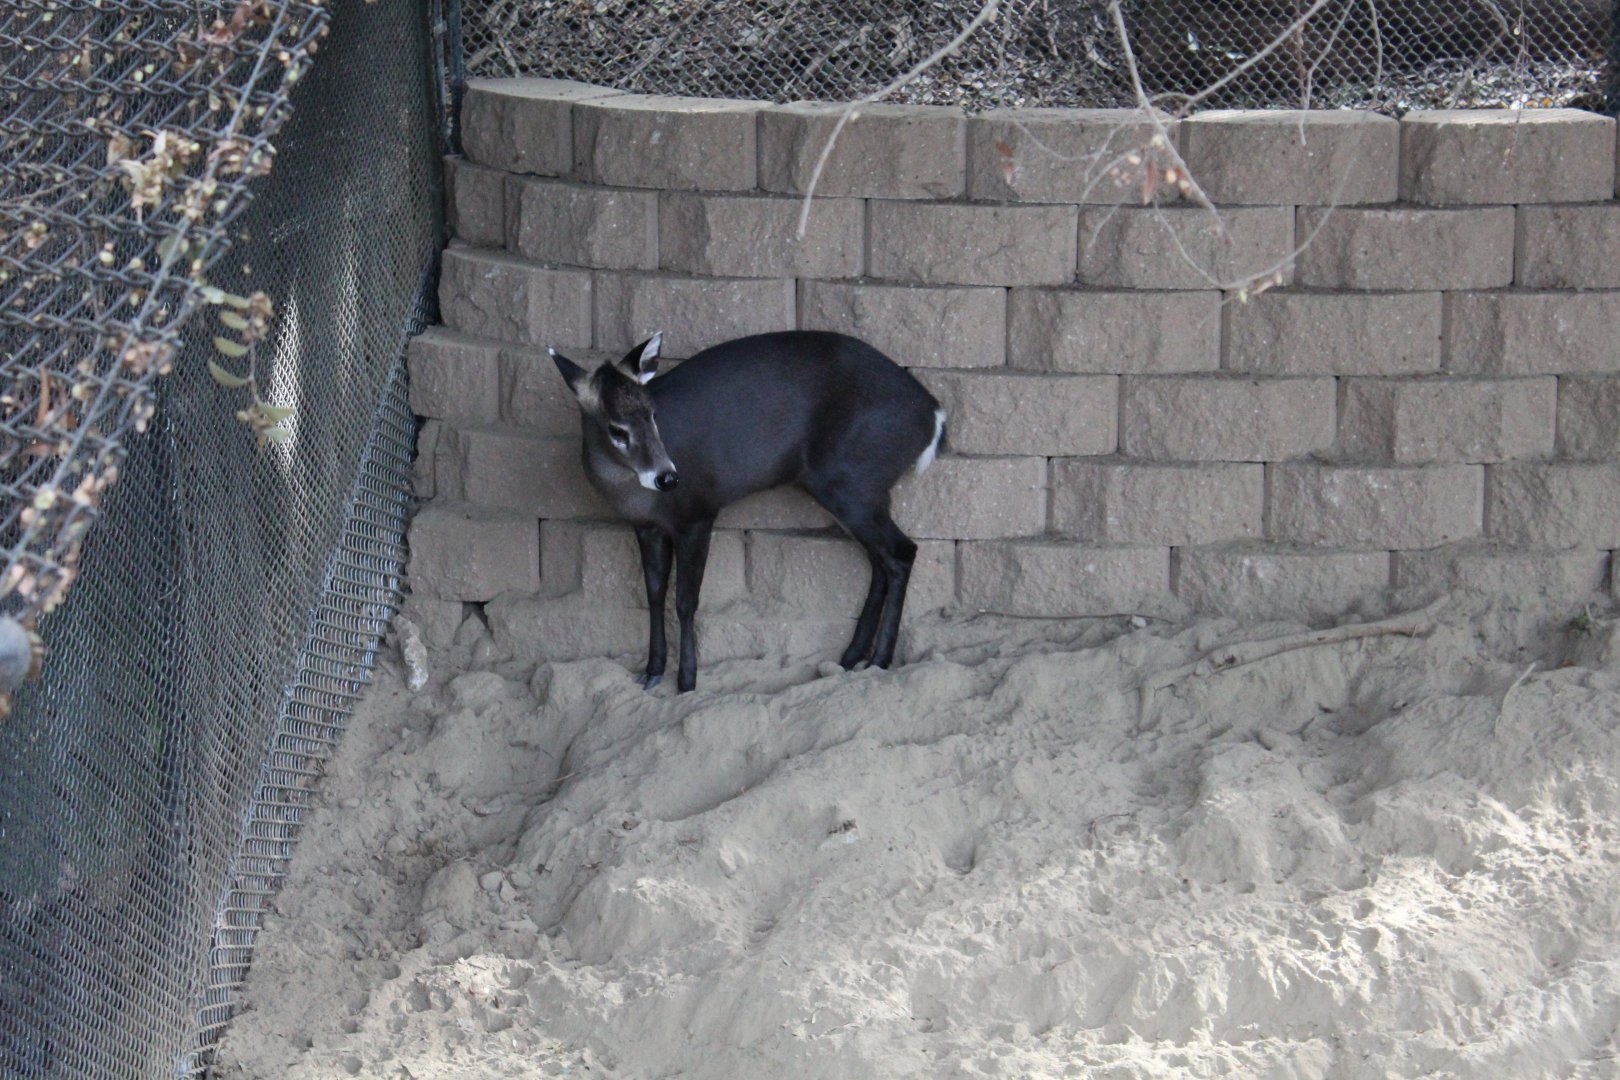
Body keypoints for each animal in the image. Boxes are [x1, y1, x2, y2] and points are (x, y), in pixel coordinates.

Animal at [550, 330, 945, 693]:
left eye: (652, 414)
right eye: (616, 429)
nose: (668, 477)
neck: (634, 494)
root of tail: (934, 415)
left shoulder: (697, 514)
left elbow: (685, 601)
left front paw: (687, 681)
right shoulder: (646, 527)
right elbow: (654, 594)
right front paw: (651, 672)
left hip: (854, 483)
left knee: (902, 551)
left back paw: (879, 660)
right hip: (855, 492)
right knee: (881, 561)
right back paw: (851, 657)